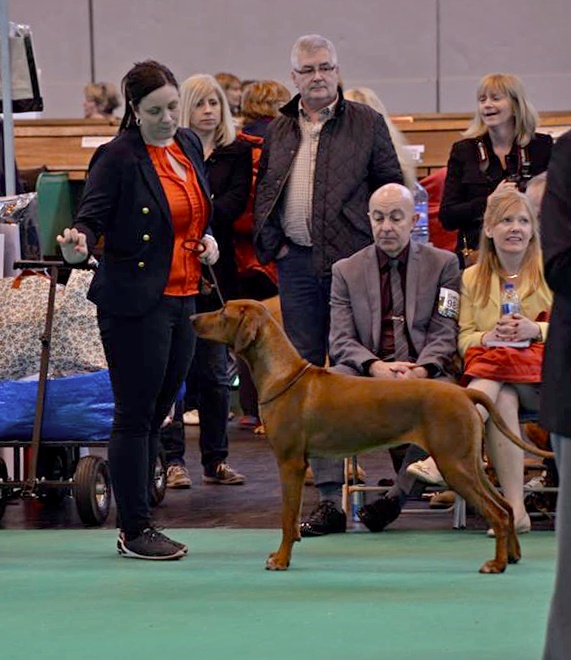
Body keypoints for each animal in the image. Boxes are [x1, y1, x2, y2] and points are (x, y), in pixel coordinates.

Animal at [192, 300, 556, 572]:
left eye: (222, 312)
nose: (193, 317)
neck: (283, 374)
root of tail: (465, 393)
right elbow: (292, 519)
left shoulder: (290, 463)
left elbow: (286, 517)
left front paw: (281, 560)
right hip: (468, 462)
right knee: (505, 506)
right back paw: (513, 556)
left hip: (454, 464)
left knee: (497, 510)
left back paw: (496, 564)